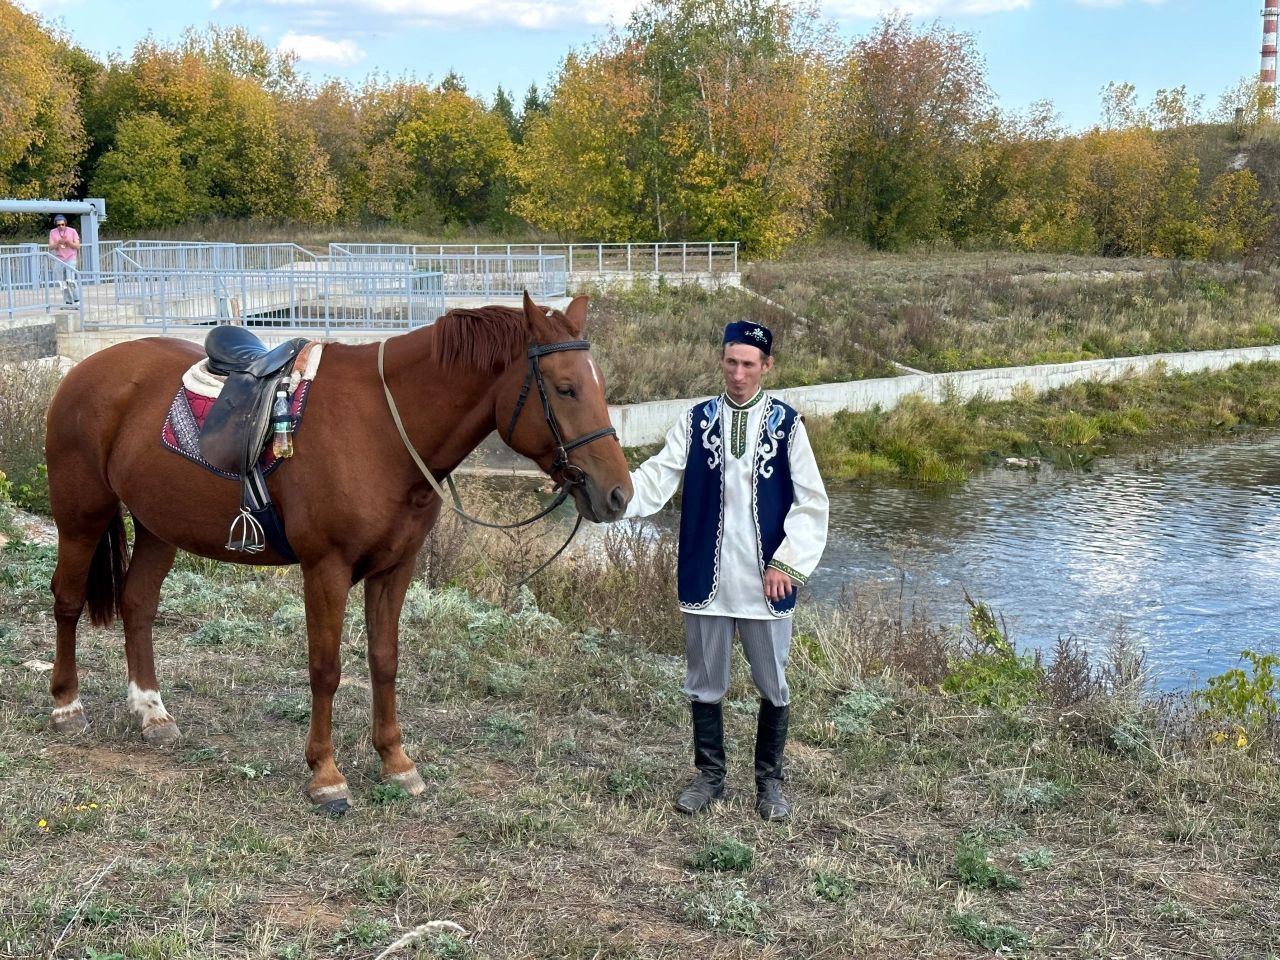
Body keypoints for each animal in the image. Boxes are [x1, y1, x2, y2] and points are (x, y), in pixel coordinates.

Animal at [42, 293, 632, 814]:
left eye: (599, 386)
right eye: (565, 388)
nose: (618, 494)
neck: (382, 430)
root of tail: (84, 368)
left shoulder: (395, 568)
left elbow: (384, 660)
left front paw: (396, 762)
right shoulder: (325, 569)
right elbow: (326, 669)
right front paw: (325, 775)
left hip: (158, 525)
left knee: (138, 605)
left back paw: (151, 711)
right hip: (81, 516)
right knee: (67, 600)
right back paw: (66, 705)